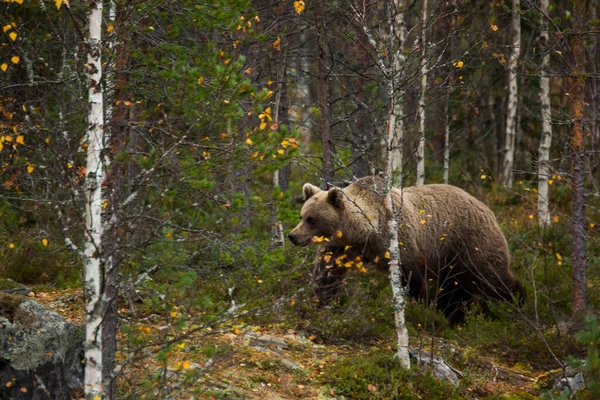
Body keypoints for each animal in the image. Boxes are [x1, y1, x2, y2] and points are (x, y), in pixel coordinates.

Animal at [288, 176, 528, 324]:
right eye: (302, 215)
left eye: (312, 219)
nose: (292, 236)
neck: (365, 232)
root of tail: (487, 207)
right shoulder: (343, 248)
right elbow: (327, 273)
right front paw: (319, 301)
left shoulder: (401, 243)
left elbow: (412, 277)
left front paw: (417, 308)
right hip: (452, 259)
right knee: (454, 290)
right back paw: (455, 318)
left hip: (469, 243)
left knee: (491, 278)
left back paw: (519, 300)